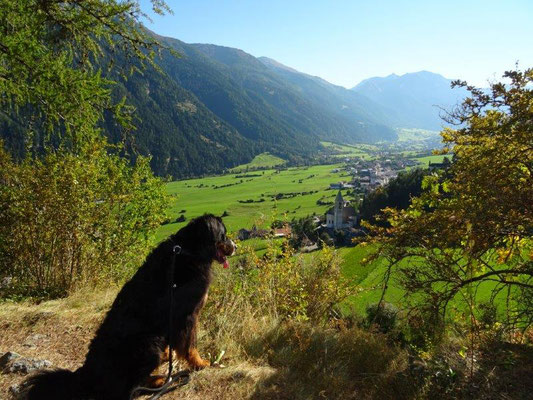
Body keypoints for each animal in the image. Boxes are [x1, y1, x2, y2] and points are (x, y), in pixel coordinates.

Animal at [22, 214, 235, 400]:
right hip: (149, 343)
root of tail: (86, 373)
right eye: (223, 236)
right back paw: (159, 380)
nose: (235, 246)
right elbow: (190, 346)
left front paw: (171, 354)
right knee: (132, 387)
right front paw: (200, 363)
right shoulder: (187, 315)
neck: (188, 250)